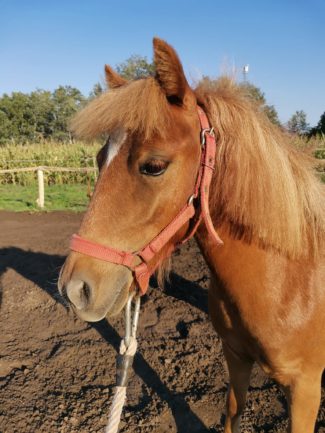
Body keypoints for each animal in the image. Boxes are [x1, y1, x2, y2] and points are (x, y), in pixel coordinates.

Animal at [58, 38, 324, 432]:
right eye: (98, 159)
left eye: (154, 166)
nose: (75, 289)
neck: (291, 280)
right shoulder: (236, 358)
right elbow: (232, 413)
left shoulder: (305, 387)